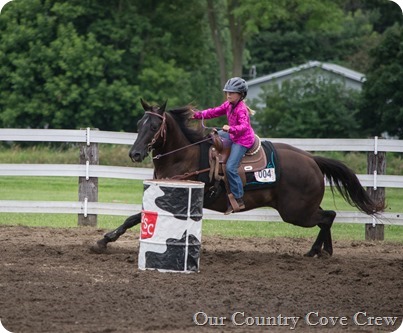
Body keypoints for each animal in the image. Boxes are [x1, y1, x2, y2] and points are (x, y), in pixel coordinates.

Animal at [91, 100, 386, 255]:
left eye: (154, 126)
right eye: (139, 124)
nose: (135, 153)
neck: (183, 156)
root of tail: (312, 159)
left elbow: (137, 217)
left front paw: (105, 239)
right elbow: (137, 216)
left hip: (296, 212)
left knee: (328, 217)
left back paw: (317, 250)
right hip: (302, 208)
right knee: (328, 217)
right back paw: (323, 251)